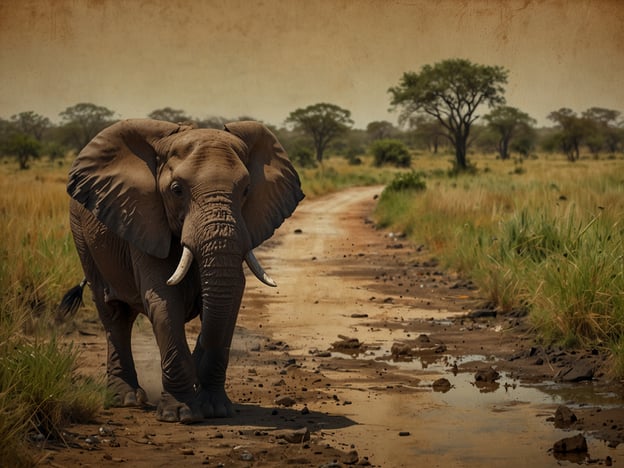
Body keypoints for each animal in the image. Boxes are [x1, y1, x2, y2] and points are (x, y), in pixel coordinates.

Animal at [64, 118, 304, 424]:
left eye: (247, 190)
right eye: (177, 190)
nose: (196, 371)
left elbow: (232, 297)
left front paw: (215, 409)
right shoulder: (145, 219)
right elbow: (164, 299)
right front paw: (181, 414)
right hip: (82, 236)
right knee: (114, 315)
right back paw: (126, 399)